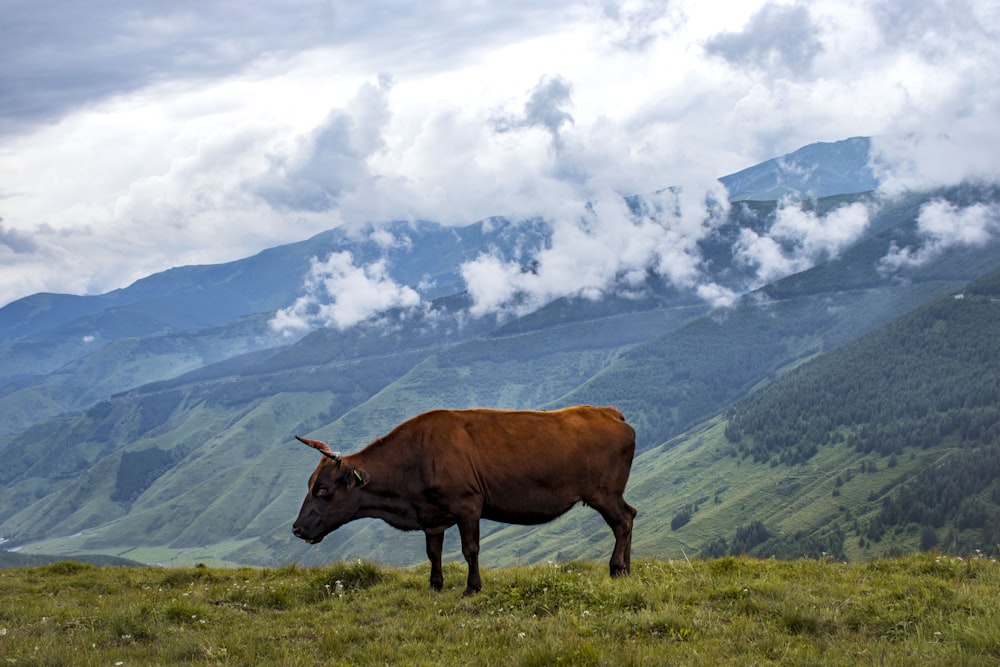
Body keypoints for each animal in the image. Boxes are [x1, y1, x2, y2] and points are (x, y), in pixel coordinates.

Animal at [292, 404, 636, 596]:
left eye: (322, 490)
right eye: (308, 484)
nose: (296, 528)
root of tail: (609, 412)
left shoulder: (467, 505)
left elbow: (470, 549)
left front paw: (472, 588)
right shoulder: (433, 517)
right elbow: (433, 553)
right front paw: (435, 585)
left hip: (604, 493)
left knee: (623, 521)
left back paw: (616, 567)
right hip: (611, 494)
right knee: (631, 515)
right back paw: (628, 569)